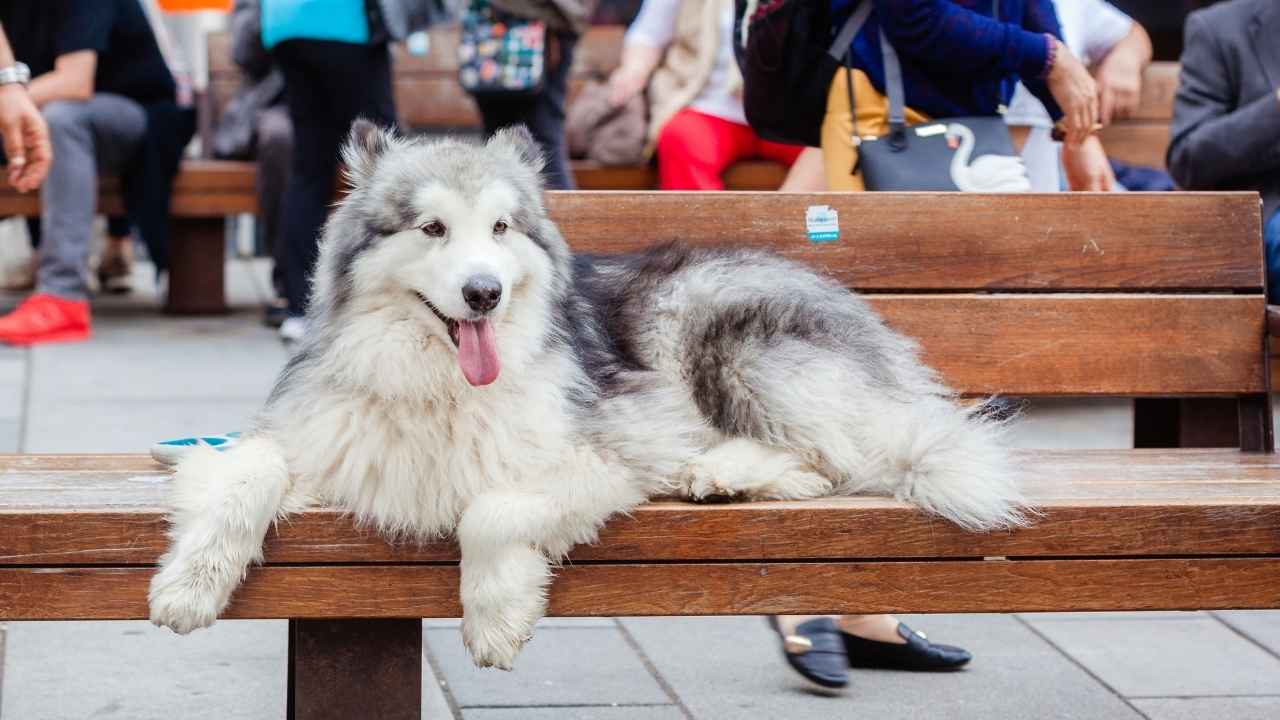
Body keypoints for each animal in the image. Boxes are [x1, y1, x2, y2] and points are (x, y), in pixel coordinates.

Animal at [149, 121, 1029, 666]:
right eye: (432, 229)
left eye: (502, 229)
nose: (483, 294)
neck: (438, 382)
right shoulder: (323, 440)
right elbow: (245, 473)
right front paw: (191, 585)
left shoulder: (606, 450)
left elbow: (491, 510)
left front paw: (496, 615)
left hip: (718, 331)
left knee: (841, 460)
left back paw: (723, 470)